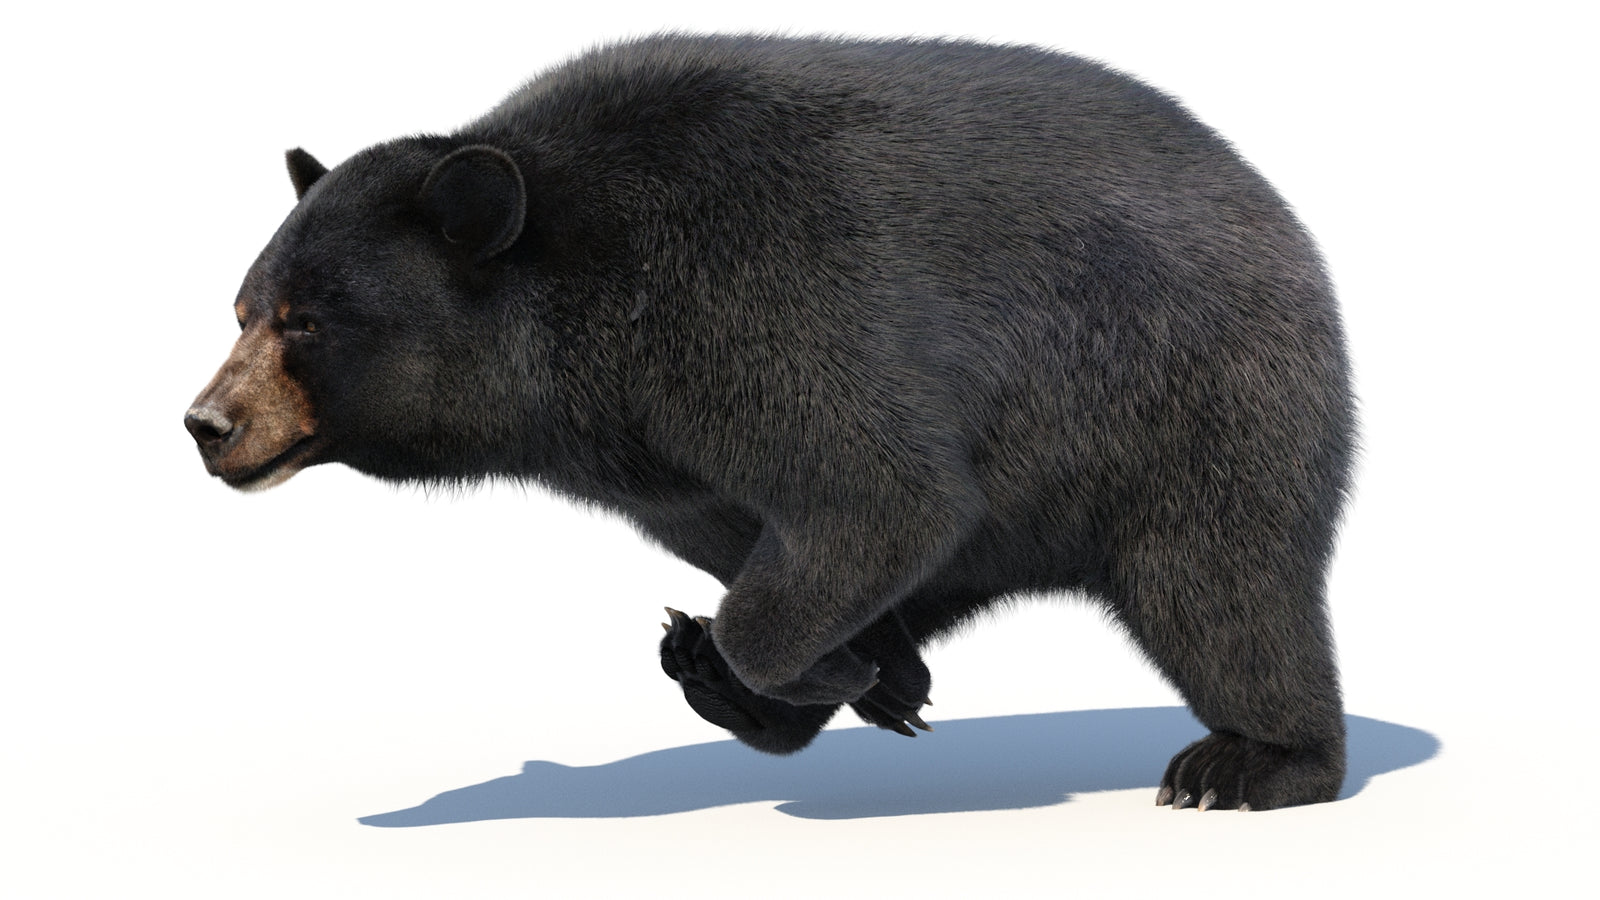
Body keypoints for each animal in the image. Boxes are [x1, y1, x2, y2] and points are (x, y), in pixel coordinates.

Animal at [185, 34, 1355, 812]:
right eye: (243, 308)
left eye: (307, 320)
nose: (207, 424)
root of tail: (1285, 223)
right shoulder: (650, 454)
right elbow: (773, 542)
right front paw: (860, 676)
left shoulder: (752, 305)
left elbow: (881, 494)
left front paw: (816, 669)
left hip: (1189, 406)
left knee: (1224, 590)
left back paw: (1253, 761)